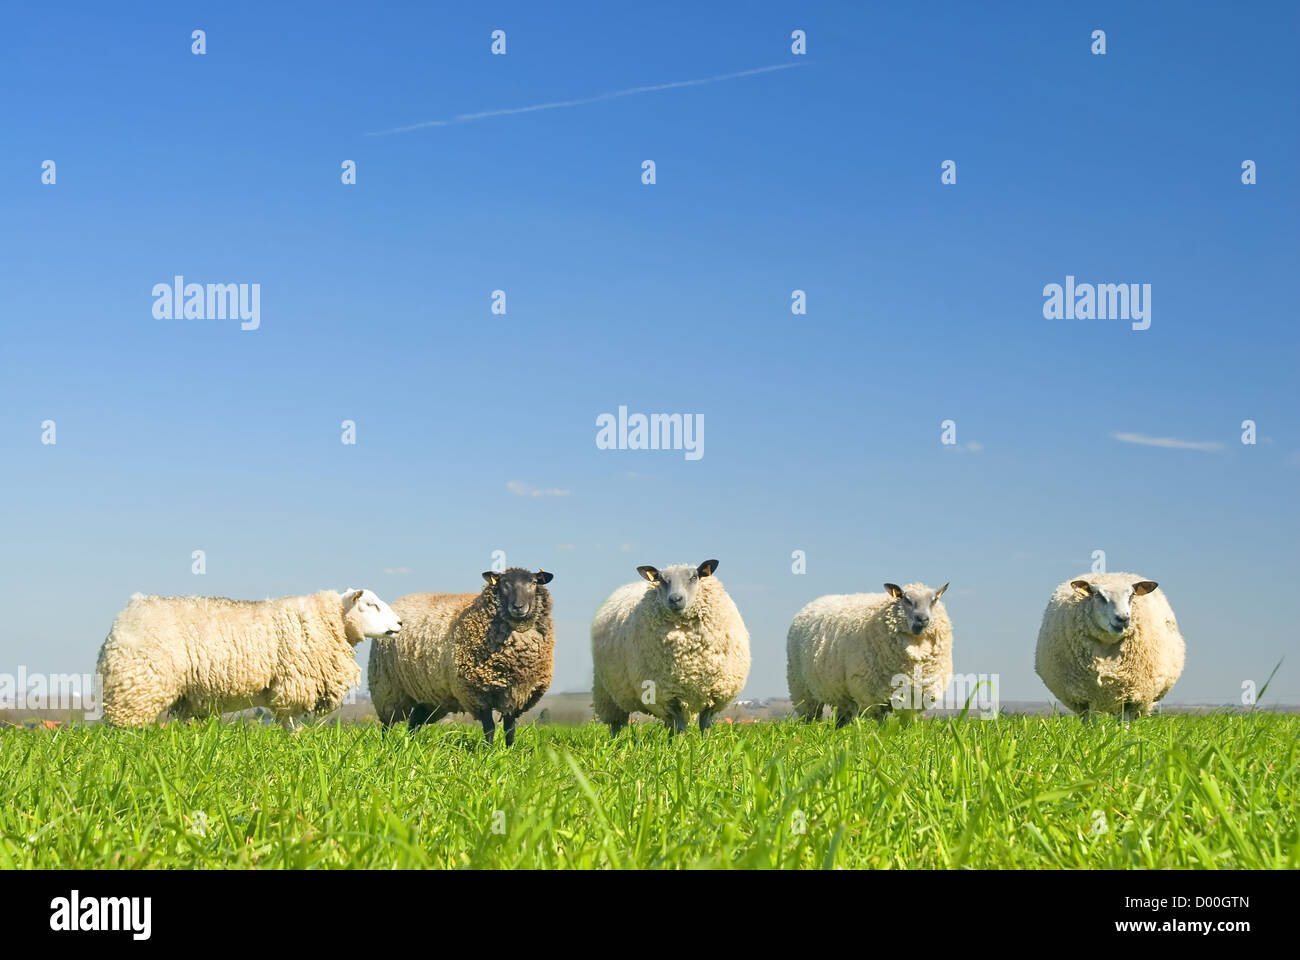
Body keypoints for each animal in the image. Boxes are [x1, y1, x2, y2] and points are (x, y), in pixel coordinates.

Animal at [96, 588, 402, 729]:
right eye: (371, 604)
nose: (399, 623)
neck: (330, 621)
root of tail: (130, 609)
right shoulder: (293, 684)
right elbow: (291, 724)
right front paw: (298, 746)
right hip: (138, 685)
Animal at [369, 567, 555, 746]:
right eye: (504, 584)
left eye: (533, 583)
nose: (518, 607)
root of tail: (400, 601)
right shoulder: (476, 692)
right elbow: (490, 728)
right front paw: (489, 751)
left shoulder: (517, 694)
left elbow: (510, 729)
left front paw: (509, 751)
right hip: (386, 687)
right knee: (387, 723)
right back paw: (386, 746)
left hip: (430, 694)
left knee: (414, 721)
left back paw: (412, 745)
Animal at [590, 560, 750, 736]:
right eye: (661, 579)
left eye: (694, 577)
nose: (675, 599)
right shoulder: (669, 694)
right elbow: (680, 727)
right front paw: (680, 743)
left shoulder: (715, 694)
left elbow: (705, 724)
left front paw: (707, 742)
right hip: (607, 693)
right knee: (616, 724)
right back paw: (615, 741)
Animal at [786, 582, 953, 725]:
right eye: (906, 599)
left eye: (934, 600)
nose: (922, 619)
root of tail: (813, 603)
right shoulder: (873, 695)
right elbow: (881, 723)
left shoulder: (915, 696)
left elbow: (908, 723)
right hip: (801, 687)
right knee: (810, 715)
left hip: (842, 694)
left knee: (842, 717)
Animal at [1034, 573, 1184, 719]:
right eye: (1098, 595)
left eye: (1132, 595)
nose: (1123, 619)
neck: (1107, 647)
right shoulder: (1086, 697)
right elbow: (1091, 722)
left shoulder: (1130, 697)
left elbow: (1124, 723)